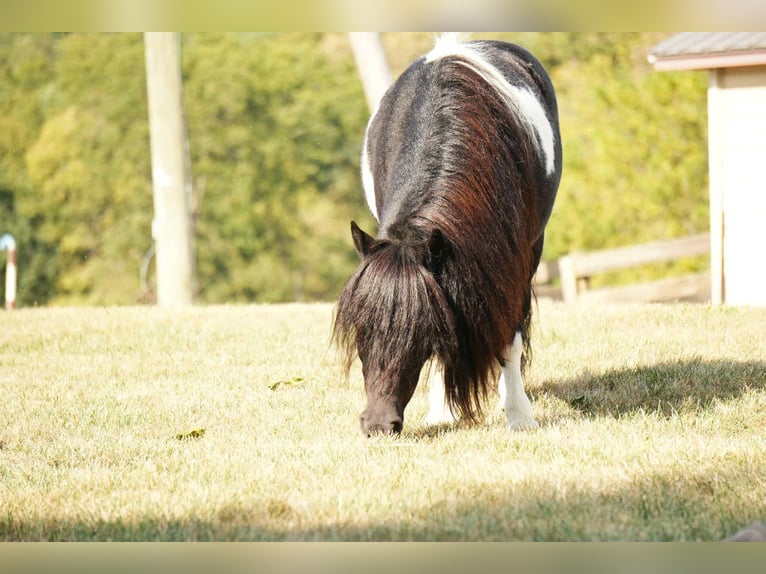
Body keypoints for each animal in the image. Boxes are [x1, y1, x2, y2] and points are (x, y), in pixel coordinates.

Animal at [333, 34, 562, 436]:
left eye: (416, 334)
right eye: (360, 329)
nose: (378, 424)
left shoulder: (517, 262)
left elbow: (510, 339)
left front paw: (520, 416)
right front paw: (442, 411)